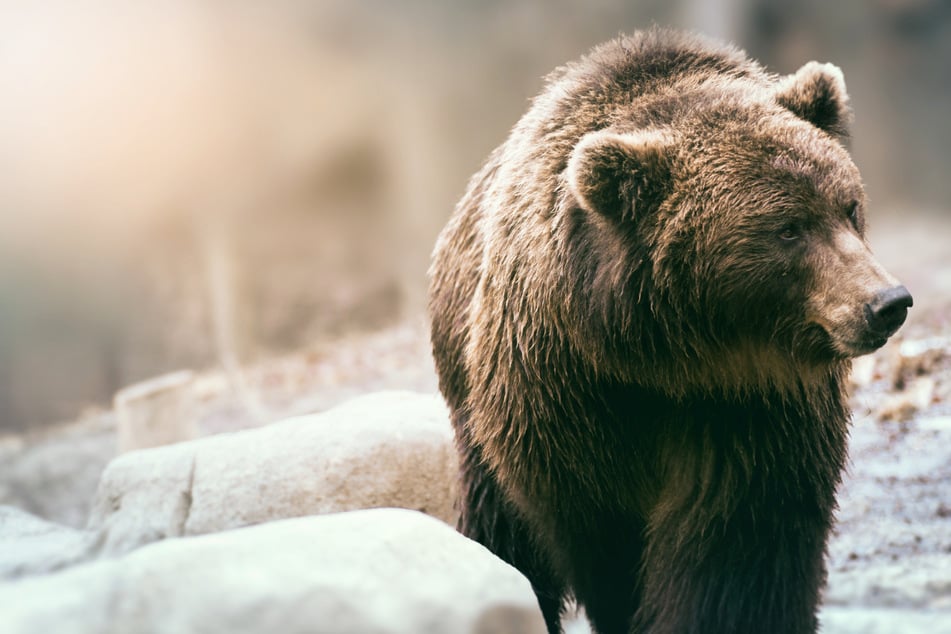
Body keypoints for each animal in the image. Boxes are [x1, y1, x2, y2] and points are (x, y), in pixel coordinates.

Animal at [428, 28, 912, 632]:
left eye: (849, 206)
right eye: (788, 229)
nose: (887, 303)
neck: (671, 359)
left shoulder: (754, 413)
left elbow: (739, 544)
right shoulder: (563, 397)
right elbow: (600, 533)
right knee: (500, 523)